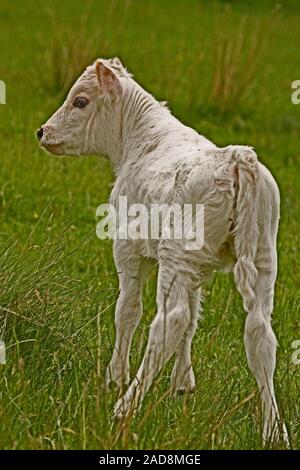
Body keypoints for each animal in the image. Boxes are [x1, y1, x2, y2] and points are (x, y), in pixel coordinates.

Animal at [38, 57, 288, 444]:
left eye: (80, 101)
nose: (43, 132)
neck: (139, 143)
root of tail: (236, 155)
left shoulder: (127, 248)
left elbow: (127, 310)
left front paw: (115, 376)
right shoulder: (199, 267)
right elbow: (195, 318)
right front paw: (182, 384)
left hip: (176, 256)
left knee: (169, 321)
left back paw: (125, 406)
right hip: (262, 259)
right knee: (259, 334)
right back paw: (274, 432)